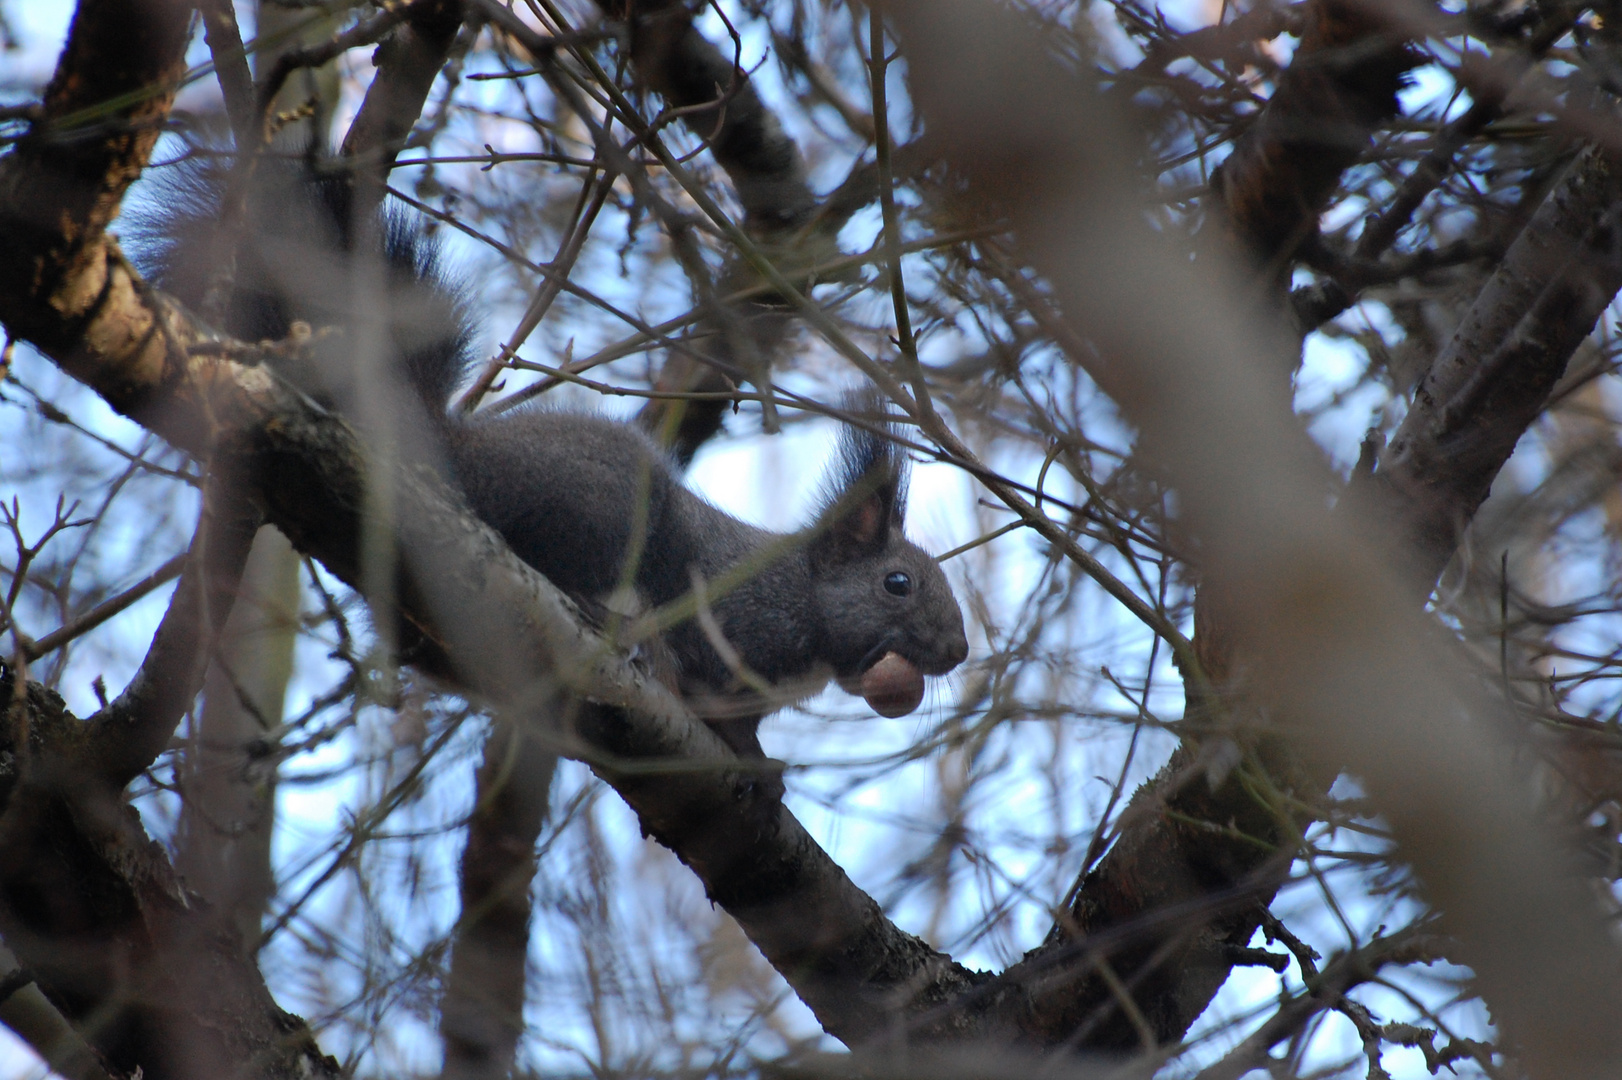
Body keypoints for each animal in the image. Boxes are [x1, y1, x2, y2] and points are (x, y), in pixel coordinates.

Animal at [129, 153, 960, 765]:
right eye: (897, 583)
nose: (957, 650)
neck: (804, 598)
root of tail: (446, 452)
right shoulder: (735, 613)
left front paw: (758, 762)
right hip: (594, 506)